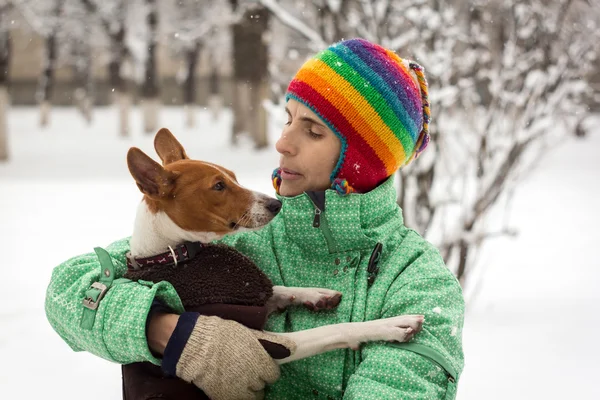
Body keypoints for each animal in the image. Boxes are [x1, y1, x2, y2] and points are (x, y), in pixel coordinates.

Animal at [125, 129, 424, 366]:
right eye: (218, 186)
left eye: (233, 177)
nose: (275, 204)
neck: (177, 256)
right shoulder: (265, 343)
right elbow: (336, 329)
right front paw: (392, 325)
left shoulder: (249, 295)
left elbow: (276, 288)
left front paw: (315, 294)